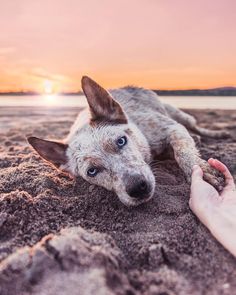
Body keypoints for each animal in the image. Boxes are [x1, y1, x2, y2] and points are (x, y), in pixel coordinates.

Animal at [27, 76, 229, 206]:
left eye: (121, 141)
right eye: (92, 171)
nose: (138, 188)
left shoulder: (172, 127)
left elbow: (183, 152)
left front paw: (203, 171)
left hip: (179, 114)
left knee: (195, 126)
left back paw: (215, 134)